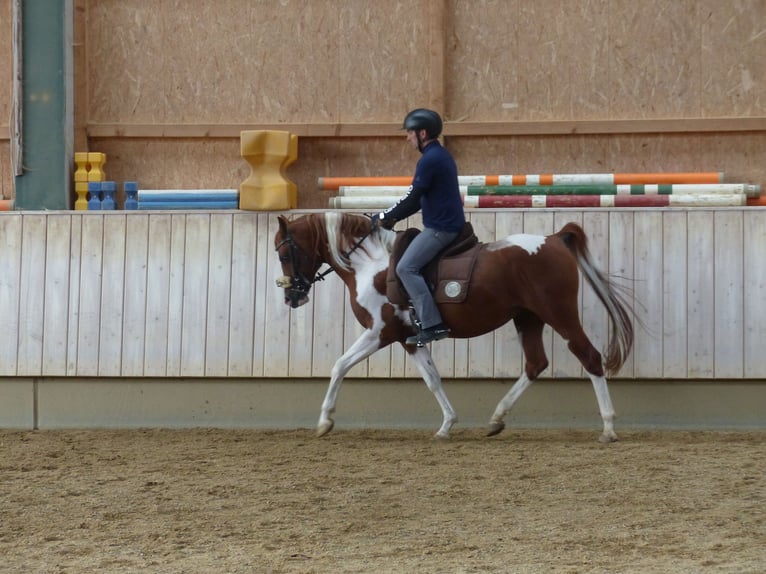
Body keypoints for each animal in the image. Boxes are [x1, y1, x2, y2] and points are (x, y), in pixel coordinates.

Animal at [275, 212, 634, 442]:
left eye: (283, 253)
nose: (292, 297)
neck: (371, 265)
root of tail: (553, 239)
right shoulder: (410, 340)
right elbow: (433, 379)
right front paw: (447, 425)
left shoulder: (380, 333)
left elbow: (339, 366)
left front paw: (325, 420)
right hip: (528, 318)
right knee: (536, 363)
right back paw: (496, 419)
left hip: (559, 314)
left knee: (589, 357)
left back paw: (608, 428)